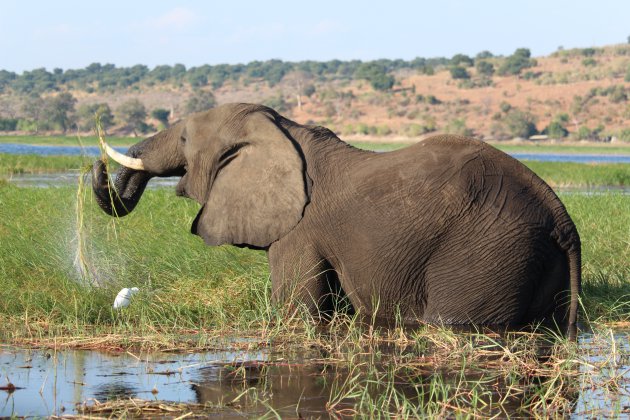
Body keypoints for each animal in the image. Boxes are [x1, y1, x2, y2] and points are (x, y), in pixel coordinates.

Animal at [92, 103, 584, 336]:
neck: (283, 128)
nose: (96, 165)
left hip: (487, 251)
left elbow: (297, 308)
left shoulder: (298, 229)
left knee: (453, 322)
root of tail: (562, 221)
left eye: (184, 139)